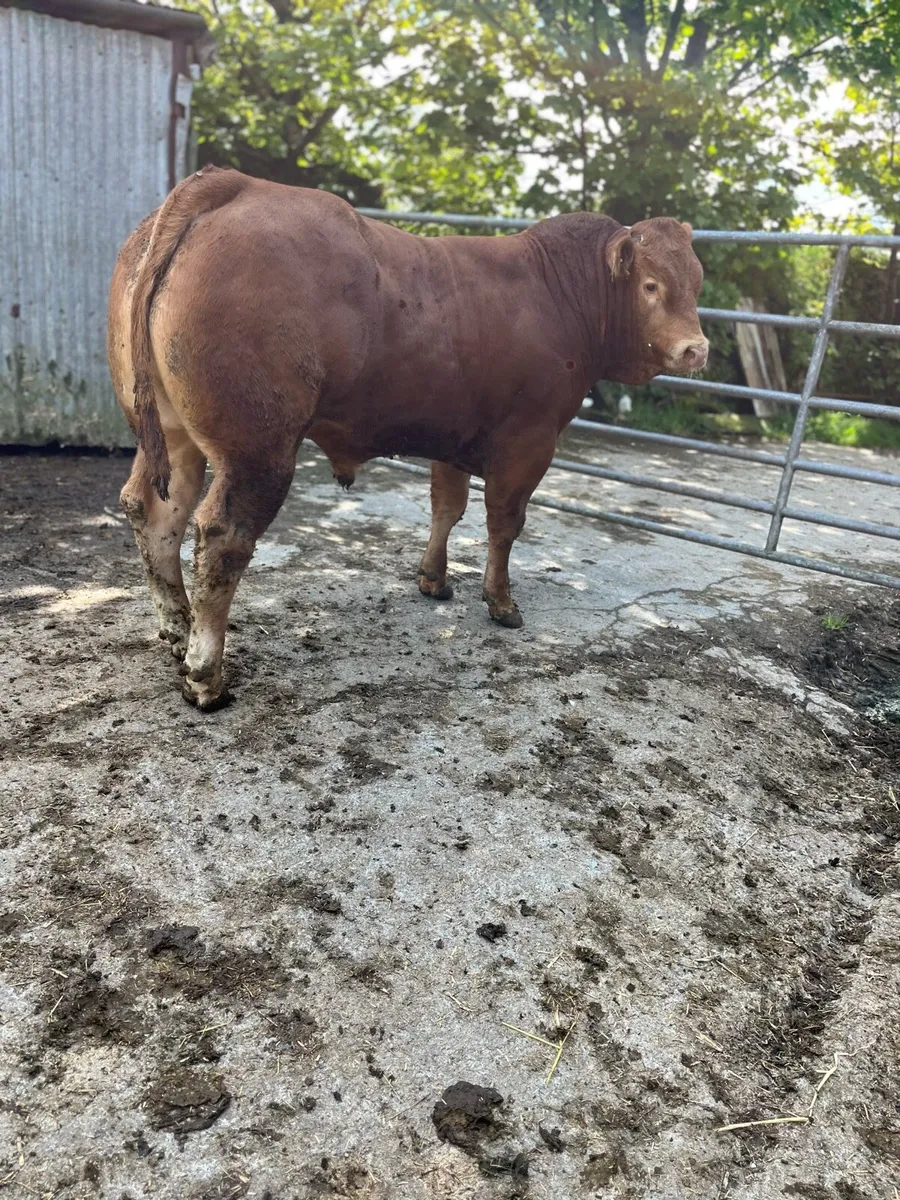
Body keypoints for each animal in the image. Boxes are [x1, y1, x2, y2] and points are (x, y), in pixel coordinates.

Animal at [107, 167, 707, 710]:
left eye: (696, 282)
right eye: (651, 286)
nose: (696, 349)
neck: (558, 293)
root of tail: (232, 183)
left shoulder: (456, 437)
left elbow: (447, 507)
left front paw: (433, 580)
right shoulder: (528, 441)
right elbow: (504, 524)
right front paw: (500, 602)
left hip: (171, 435)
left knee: (155, 512)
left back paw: (177, 629)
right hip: (257, 450)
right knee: (222, 537)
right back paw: (205, 677)